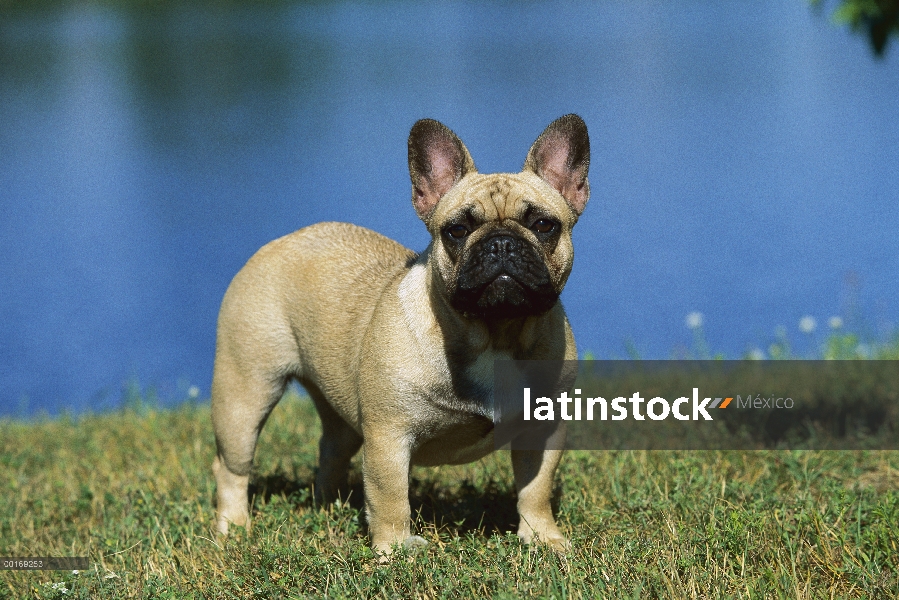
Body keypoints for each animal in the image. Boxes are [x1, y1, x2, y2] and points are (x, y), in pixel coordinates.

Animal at [211, 115, 592, 556]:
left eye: (544, 225)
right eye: (456, 230)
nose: (500, 243)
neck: (494, 334)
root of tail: (280, 242)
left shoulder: (543, 430)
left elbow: (536, 487)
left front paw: (542, 537)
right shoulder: (389, 437)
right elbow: (390, 496)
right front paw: (394, 549)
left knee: (332, 448)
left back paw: (328, 506)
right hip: (246, 393)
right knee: (232, 466)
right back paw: (234, 526)